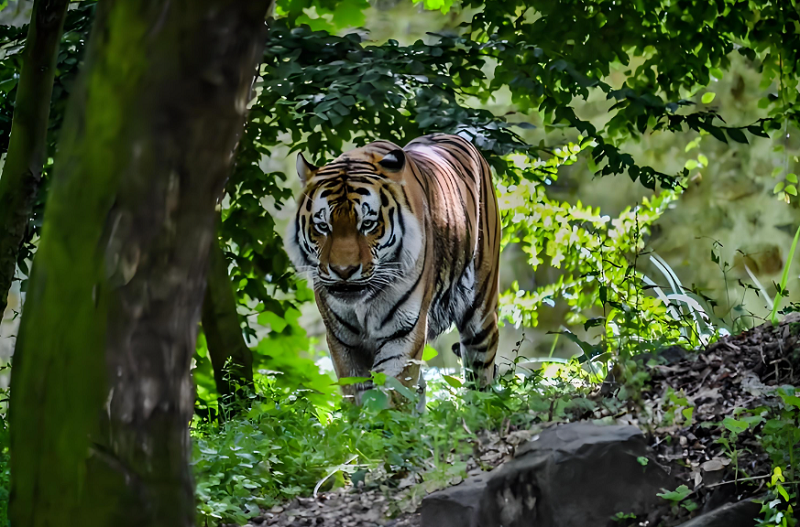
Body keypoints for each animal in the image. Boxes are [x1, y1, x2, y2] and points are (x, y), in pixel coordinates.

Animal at [285, 133, 500, 403]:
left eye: (368, 224)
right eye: (323, 226)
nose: (343, 271)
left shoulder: (404, 331)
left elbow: (392, 393)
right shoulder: (343, 340)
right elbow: (357, 393)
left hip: (480, 312)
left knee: (481, 378)